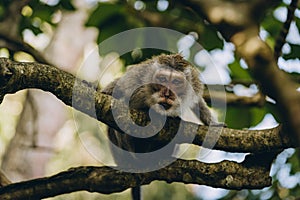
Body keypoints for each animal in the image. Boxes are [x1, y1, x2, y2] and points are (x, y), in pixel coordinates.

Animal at [101, 53, 220, 200]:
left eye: (176, 82)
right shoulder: (136, 76)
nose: (167, 94)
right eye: (162, 79)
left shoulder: (194, 84)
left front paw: (213, 123)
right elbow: (113, 91)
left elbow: (198, 103)